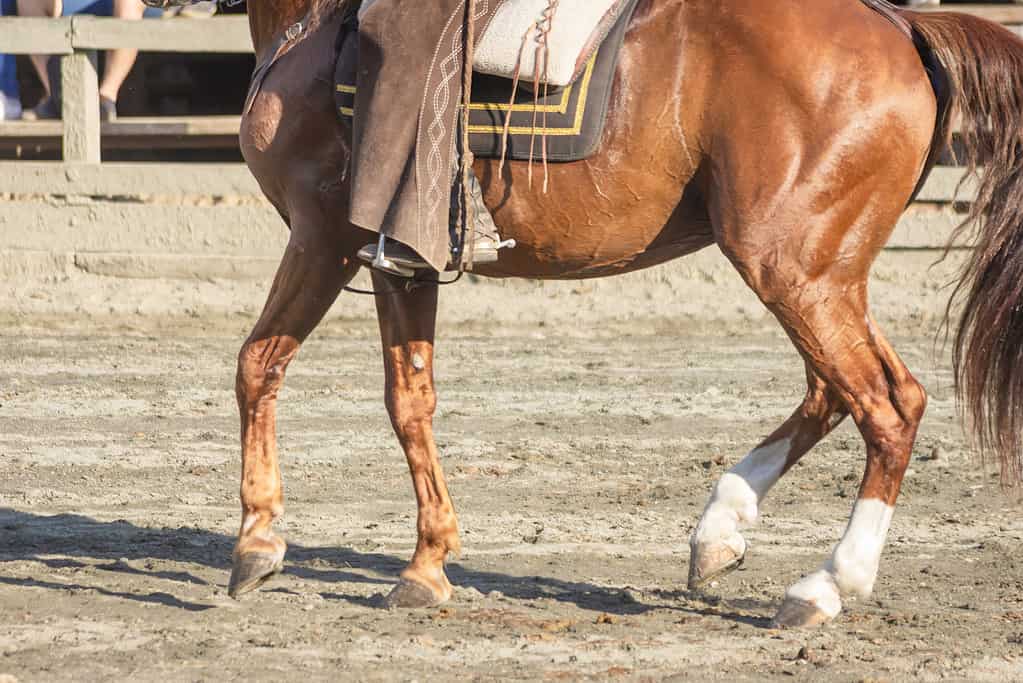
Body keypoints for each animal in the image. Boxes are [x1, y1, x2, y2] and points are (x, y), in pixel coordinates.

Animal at [143, 0, 1023, 628]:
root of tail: (899, 22)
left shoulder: (324, 234)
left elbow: (258, 364)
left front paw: (258, 540)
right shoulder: (400, 259)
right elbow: (409, 401)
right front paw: (427, 564)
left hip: (792, 267)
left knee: (884, 404)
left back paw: (826, 583)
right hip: (818, 270)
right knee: (837, 392)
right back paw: (720, 529)